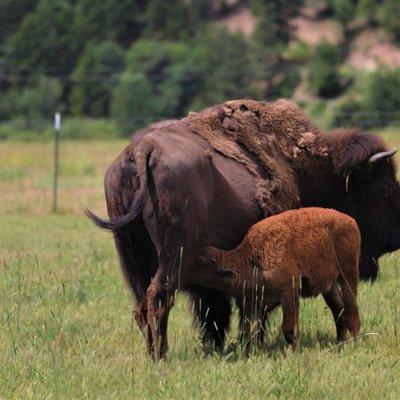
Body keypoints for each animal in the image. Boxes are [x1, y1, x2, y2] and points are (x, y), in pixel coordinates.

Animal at [86, 99, 398, 360]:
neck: (305, 167)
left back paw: (155, 352)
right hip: (172, 256)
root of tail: (142, 150)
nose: (394, 240)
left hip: (131, 257)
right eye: (383, 189)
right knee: (159, 297)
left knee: (142, 305)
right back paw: (161, 356)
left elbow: (218, 313)